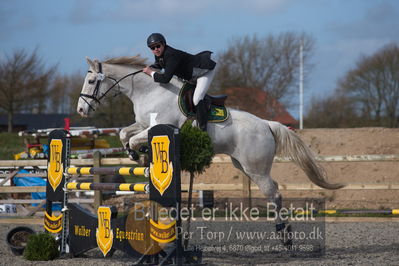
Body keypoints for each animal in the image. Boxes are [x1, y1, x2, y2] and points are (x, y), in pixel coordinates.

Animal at [77, 55, 344, 243]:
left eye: (90, 81)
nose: (80, 110)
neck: (149, 91)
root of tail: (267, 124)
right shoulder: (142, 125)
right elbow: (125, 133)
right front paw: (135, 155)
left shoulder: (158, 127)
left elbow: (133, 139)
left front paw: (138, 155)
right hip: (243, 165)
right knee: (272, 190)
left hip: (255, 168)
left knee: (274, 193)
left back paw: (285, 234)